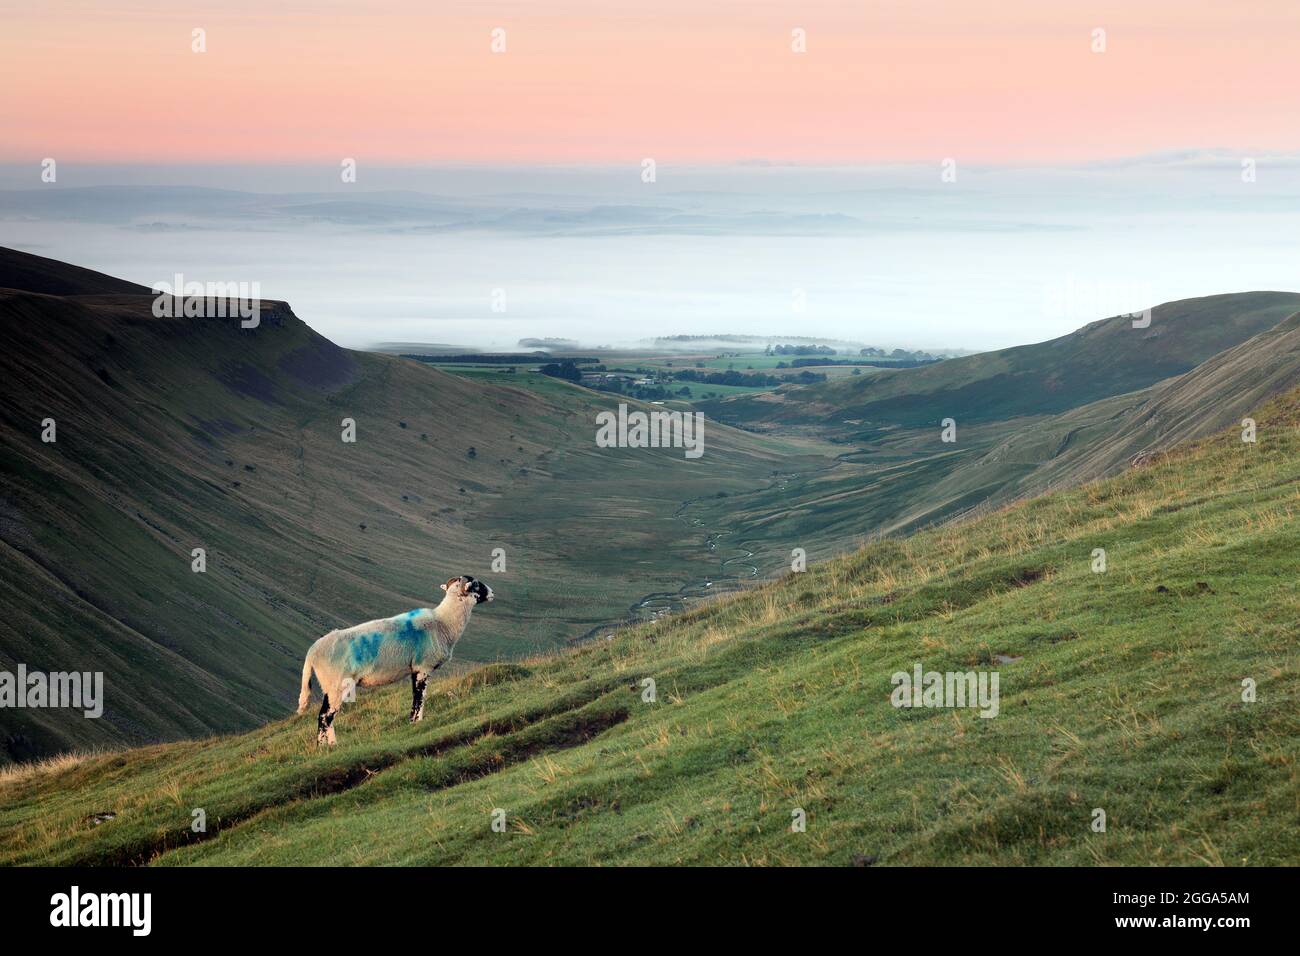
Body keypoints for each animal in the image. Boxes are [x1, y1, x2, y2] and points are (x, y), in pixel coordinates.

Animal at [296, 575, 494, 744]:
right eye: (476, 585)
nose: (492, 593)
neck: (444, 622)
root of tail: (313, 651)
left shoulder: (414, 669)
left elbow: (416, 696)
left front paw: (412, 721)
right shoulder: (423, 667)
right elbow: (420, 697)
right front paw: (417, 722)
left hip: (329, 686)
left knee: (326, 715)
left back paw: (331, 745)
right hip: (337, 683)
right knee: (325, 716)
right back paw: (326, 747)